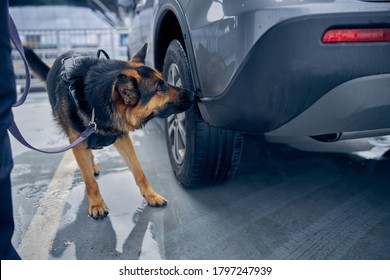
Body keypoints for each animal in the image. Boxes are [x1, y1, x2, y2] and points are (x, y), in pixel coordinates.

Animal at [25, 43, 193, 219]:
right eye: (160, 87)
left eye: (164, 81)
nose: (193, 94)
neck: (94, 103)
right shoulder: (78, 143)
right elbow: (90, 181)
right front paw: (96, 204)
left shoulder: (123, 139)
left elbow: (139, 171)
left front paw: (151, 195)